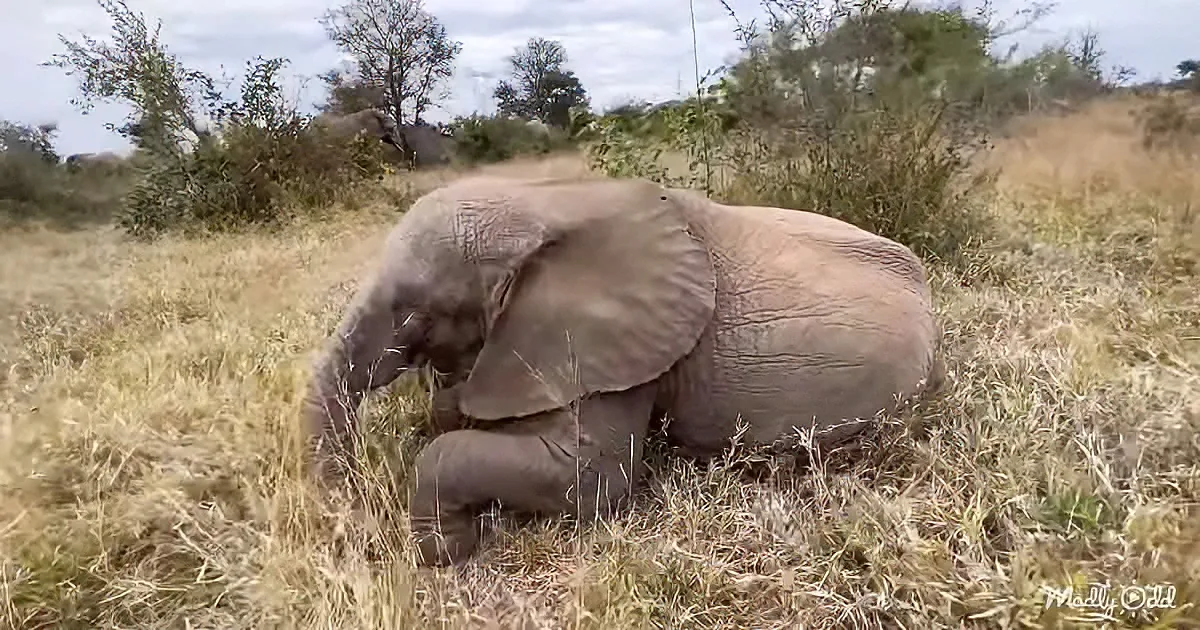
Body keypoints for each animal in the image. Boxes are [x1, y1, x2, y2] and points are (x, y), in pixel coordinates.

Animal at [302, 175, 945, 567]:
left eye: (415, 316)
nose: (354, 524)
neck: (547, 201)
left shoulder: (621, 346)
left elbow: (590, 477)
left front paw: (449, 549)